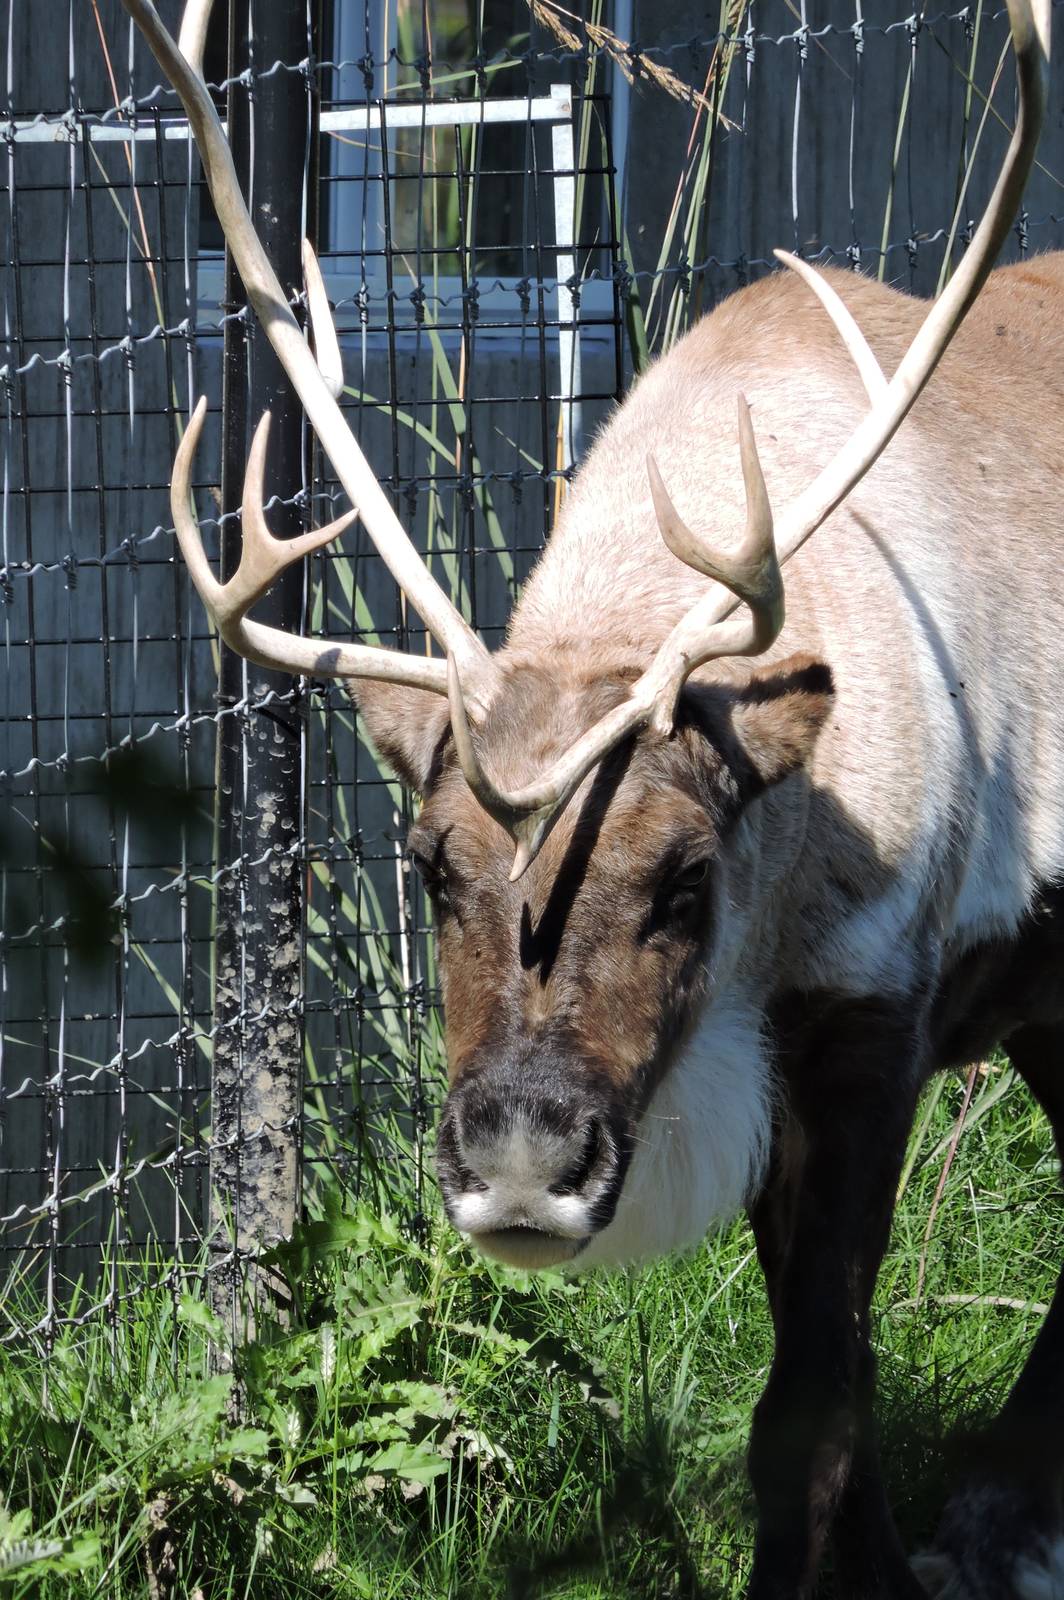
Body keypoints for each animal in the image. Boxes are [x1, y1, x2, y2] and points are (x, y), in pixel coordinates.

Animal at [124, 0, 1062, 1593]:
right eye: (429, 864)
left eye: (685, 875)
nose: (517, 1166)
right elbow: (842, 1391)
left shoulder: (868, 1017)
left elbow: (807, 1411)